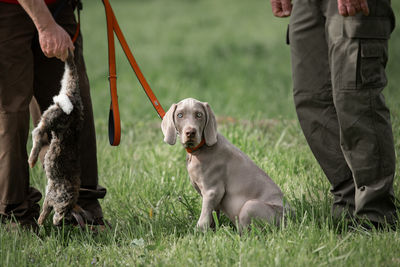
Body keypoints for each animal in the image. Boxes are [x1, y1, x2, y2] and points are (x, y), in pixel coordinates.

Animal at [28, 50, 89, 228]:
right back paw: (32, 159)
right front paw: (42, 221)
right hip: (56, 118)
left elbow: (45, 209)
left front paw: (40, 222)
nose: (58, 222)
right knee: (38, 132)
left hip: (53, 114)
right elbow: (46, 208)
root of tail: (72, 99)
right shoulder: (54, 196)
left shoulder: (50, 195)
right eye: (67, 217)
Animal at [161, 98, 286, 232]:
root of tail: (292, 218)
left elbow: (204, 217)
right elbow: (212, 215)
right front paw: (212, 231)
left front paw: (197, 233)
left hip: (251, 206)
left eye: (199, 115)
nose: (190, 133)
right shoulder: (214, 197)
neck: (199, 150)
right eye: (180, 115)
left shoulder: (213, 190)